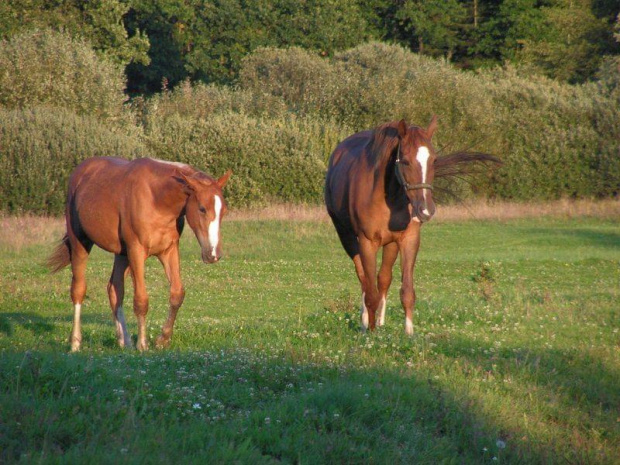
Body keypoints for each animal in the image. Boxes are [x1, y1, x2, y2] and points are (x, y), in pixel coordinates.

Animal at [48, 158, 231, 350]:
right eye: (202, 209)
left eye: (223, 211)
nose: (213, 254)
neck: (157, 198)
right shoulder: (136, 251)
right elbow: (141, 300)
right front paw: (142, 344)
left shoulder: (169, 250)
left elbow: (177, 294)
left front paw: (162, 339)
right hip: (81, 243)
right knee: (78, 289)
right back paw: (76, 342)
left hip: (122, 254)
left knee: (114, 289)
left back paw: (125, 341)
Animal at [324, 116, 498, 334]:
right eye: (405, 161)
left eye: (434, 160)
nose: (426, 210)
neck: (387, 195)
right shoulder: (367, 242)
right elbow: (370, 290)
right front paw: (370, 332)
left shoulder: (409, 239)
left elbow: (406, 291)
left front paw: (408, 333)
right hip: (346, 236)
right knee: (363, 278)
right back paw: (365, 322)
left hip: (390, 243)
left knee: (383, 278)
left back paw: (380, 321)